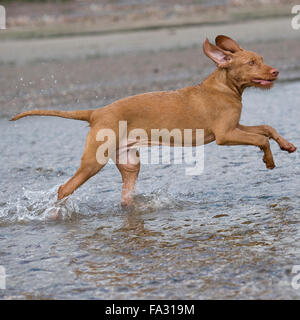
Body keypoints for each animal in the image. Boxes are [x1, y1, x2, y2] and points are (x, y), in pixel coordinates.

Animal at [10, 35, 296, 205]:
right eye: (251, 62)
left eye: (261, 59)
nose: (275, 71)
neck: (224, 86)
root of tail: (96, 112)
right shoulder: (225, 135)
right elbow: (260, 139)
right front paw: (269, 160)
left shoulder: (234, 127)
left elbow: (266, 128)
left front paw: (287, 145)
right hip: (93, 161)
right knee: (64, 188)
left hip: (130, 164)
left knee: (125, 196)